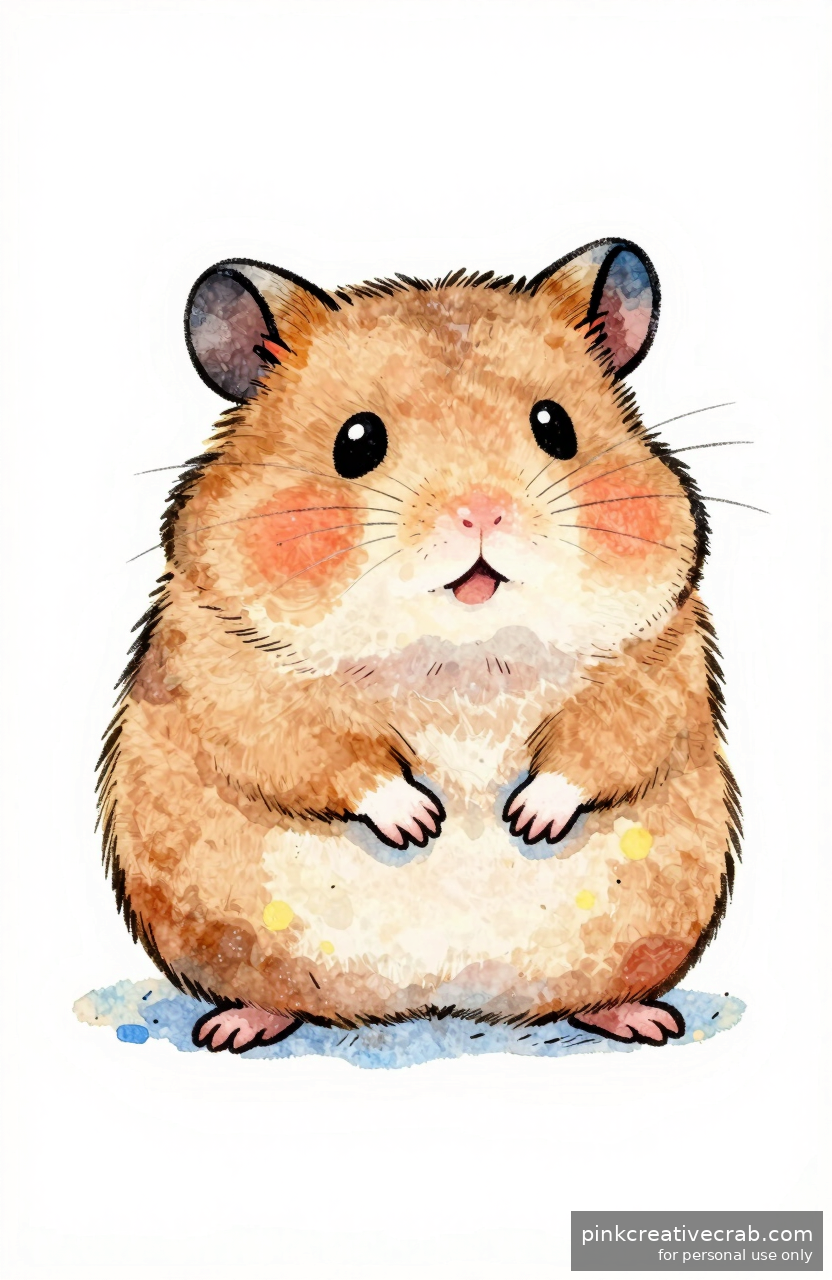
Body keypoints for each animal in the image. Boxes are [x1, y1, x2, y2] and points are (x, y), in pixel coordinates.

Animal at [97, 238, 740, 1053]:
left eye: (555, 426)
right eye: (356, 441)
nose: (481, 512)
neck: (461, 654)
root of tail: (440, 1004)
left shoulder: (654, 658)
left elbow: (605, 741)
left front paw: (525, 818)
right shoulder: (239, 674)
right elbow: (317, 751)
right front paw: (421, 822)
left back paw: (645, 1021)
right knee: (264, 990)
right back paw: (232, 1030)